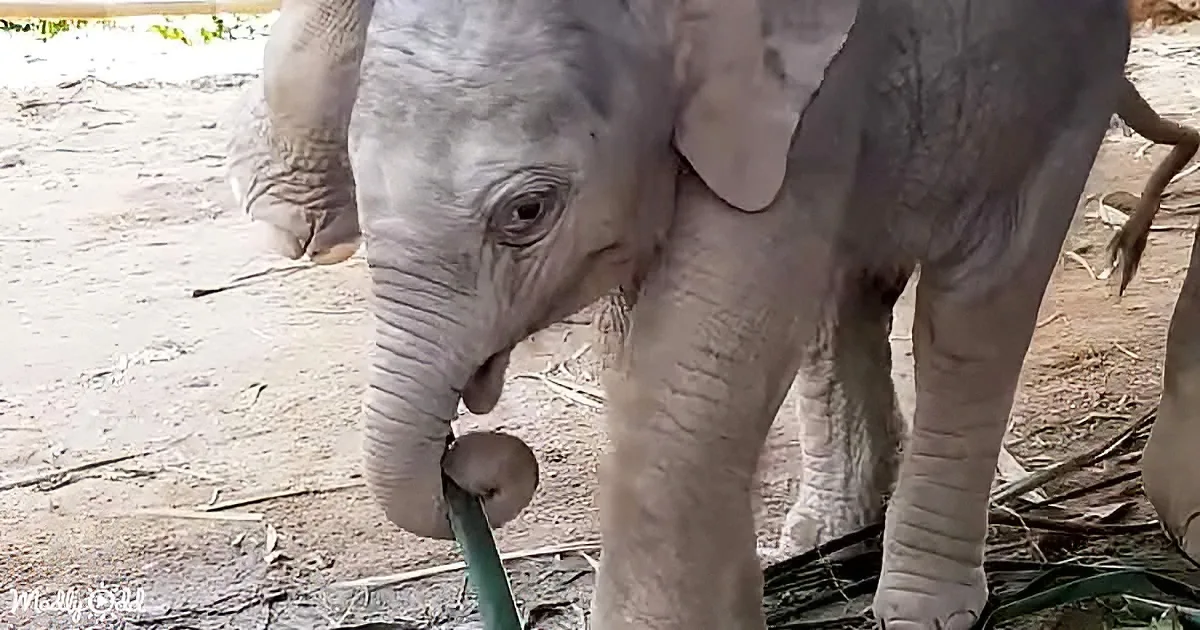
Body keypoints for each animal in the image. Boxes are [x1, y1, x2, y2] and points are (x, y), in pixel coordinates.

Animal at [223, 0, 1147, 627]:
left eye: (526, 211)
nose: (468, 467)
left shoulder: (808, 101)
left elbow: (691, 375)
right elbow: (647, 355)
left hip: (1070, 84)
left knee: (975, 315)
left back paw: (923, 611)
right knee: (843, 296)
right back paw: (818, 539)